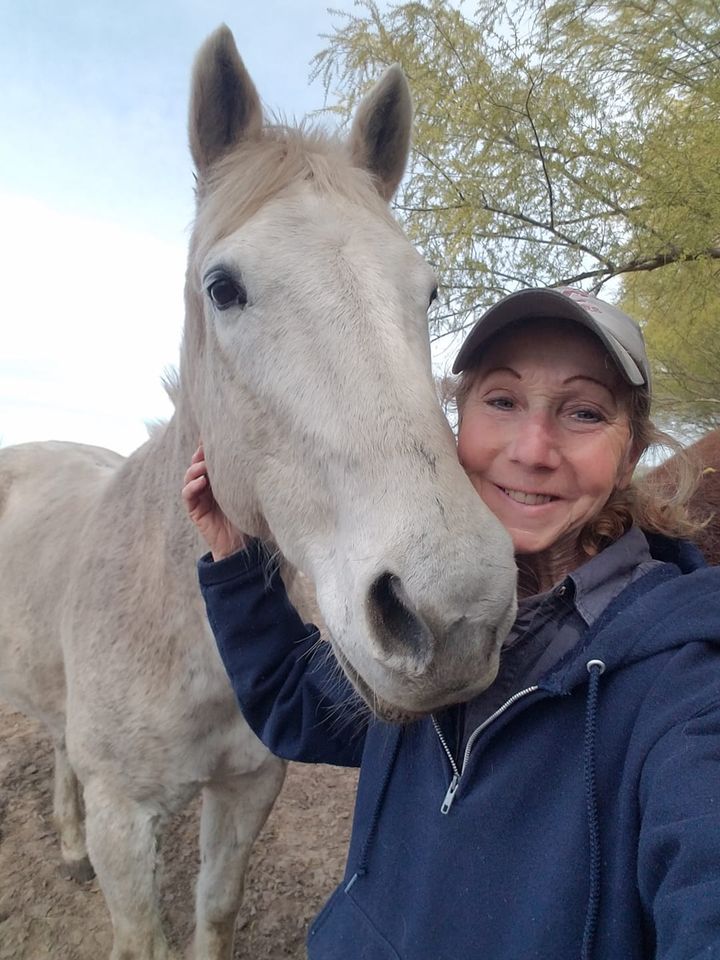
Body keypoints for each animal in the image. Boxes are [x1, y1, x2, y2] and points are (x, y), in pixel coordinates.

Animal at [0, 24, 516, 960]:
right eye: (222, 287)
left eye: (426, 290)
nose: (456, 616)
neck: (177, 634)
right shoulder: (125, 825)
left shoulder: (246, 792)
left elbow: (214, 909)